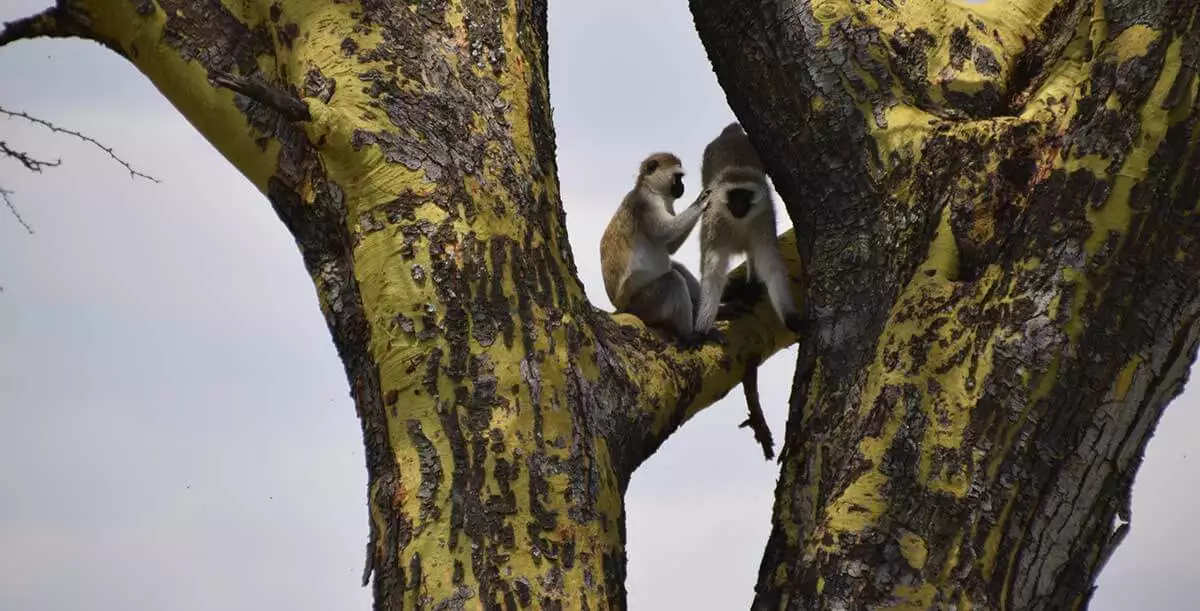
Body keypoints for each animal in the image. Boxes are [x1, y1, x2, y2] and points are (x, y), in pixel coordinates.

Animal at [600, 150, 710, 340]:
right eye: (677, 177)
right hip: (644, 306)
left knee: (676, 268)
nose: (682, 187)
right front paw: (701, 201)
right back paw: (689, 336)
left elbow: (670, 247)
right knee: (673, 279)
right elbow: (663, 232)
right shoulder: (645, 203)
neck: (652, 190)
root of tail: (620, 307)